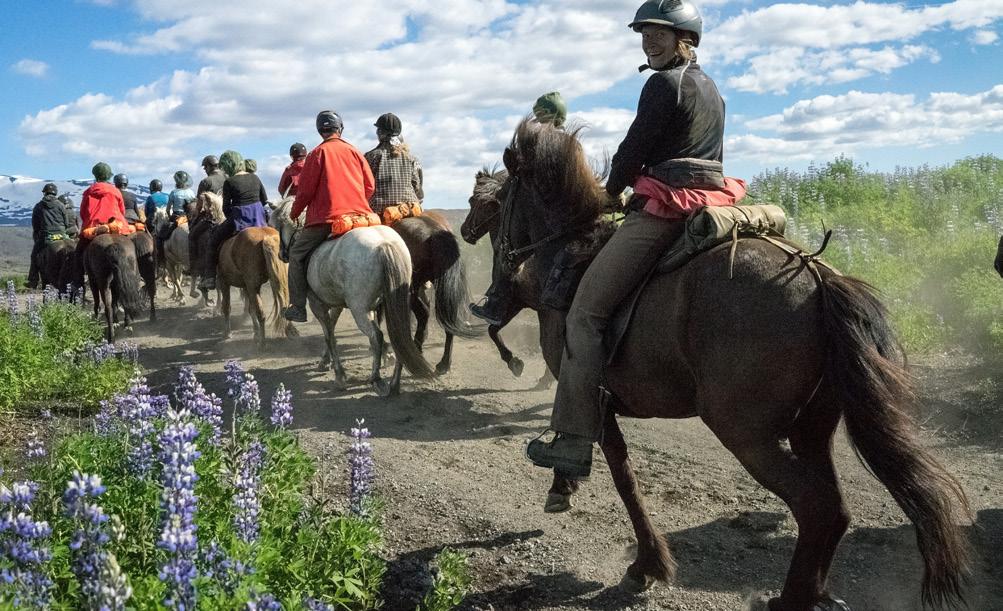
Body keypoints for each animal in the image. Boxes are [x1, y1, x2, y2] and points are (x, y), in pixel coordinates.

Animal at [270, 196, 435, 395]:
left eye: (276, 225)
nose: (282, 254)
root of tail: (384, 244)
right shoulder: (340, 304)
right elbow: (332, 327)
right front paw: (325, 361)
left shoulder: (317, 304)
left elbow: (329, 334)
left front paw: (339, 374)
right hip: (396, 306)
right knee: (400, 339)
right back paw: (394, 383)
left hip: (359, 309)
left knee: (376, 336)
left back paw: (376, 379)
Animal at [461, 170, 557, 391]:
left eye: (472, 201)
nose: (463, 230)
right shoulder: (521, 304)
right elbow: (492, 329)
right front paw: (515, 363)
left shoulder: (517, 303)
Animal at [485, 120, 970, 609]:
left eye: (501, 200)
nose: (499, 279)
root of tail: (817, 277)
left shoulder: (589, 393)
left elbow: (623, 476)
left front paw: (646, 563)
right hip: (811, 430)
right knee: (836, 509)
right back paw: (813, 592)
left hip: (745, 433)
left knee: (817, 508)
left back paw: (791, 598)